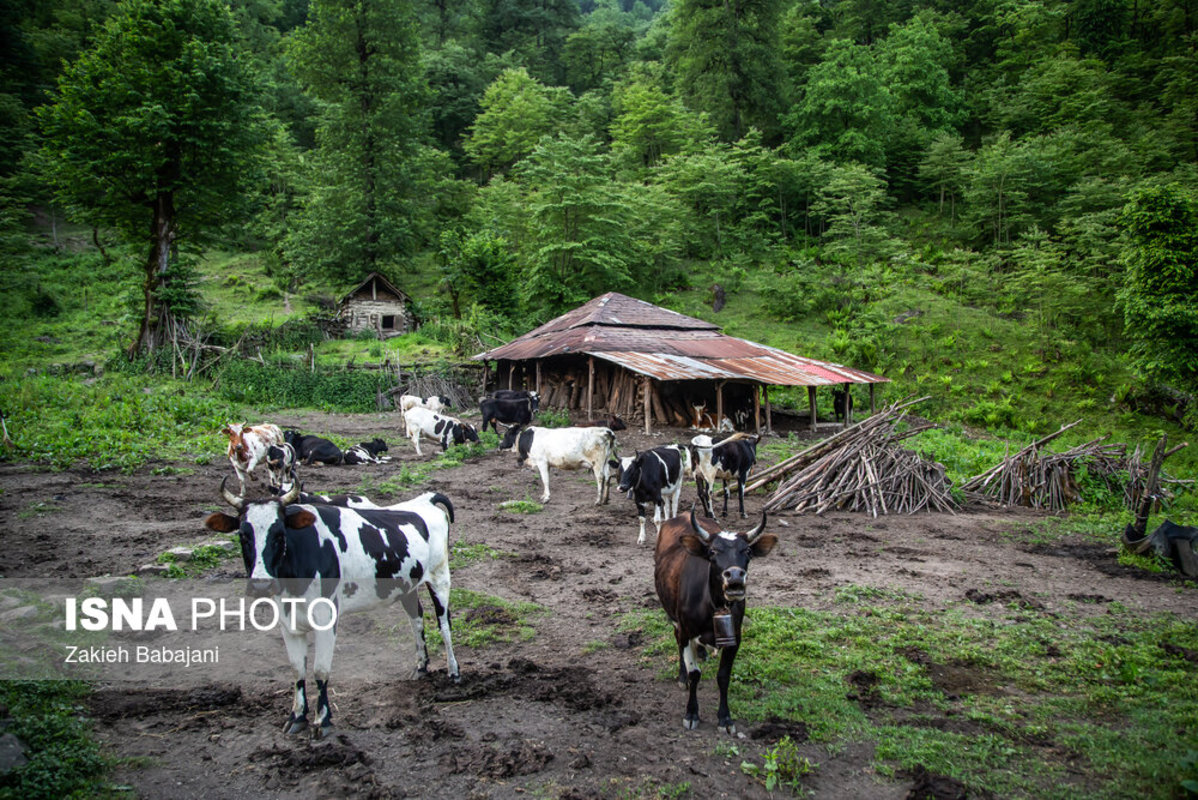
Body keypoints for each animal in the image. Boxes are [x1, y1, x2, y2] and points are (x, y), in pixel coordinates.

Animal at [203, 481, 455, 737]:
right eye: (243, 535)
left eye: (280, 535)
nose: (261, 585)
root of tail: (425, 500)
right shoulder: (287, 622)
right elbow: (297, 670)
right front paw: (297, 716)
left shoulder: (325, 617)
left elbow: (320, 671)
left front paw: (321, 720)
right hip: (406, 586)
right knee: (417, 619)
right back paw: (421, 667)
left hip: (439, 577)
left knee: (444, 624)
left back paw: (454, 673)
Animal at [656, 510, 776, 732]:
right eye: (712, 551)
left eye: (747, 551)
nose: (735, 575)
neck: (713, 605)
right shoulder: (686, 631)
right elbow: (695, 673)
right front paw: (691, 713)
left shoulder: (734, 638)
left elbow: (723, 676)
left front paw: (725, 718)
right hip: (674, 618)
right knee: (677, 640)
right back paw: (682, 676)